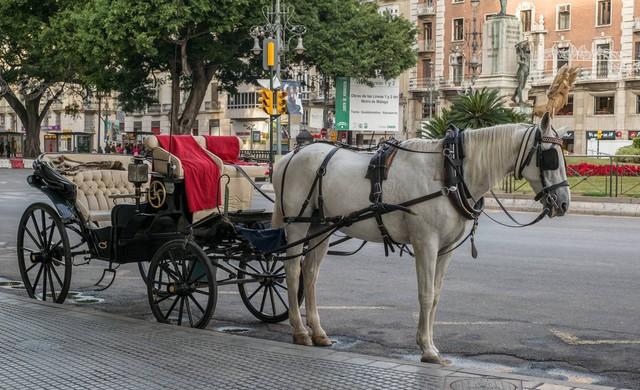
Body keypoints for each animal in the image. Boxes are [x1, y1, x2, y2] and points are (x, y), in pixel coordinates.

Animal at [272, 113, 568, 366]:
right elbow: (424, 294)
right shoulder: (426, 242)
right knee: (293, 270)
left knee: (310, 273)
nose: (564, 203)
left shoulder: (446, 248)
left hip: (321, 226)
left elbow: (435, 295)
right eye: (550, 157)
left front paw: (431, 345)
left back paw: (318, 332)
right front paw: (427, 350)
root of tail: (289, 157)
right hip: (298, 225)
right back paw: (300, 330)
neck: (450, 172)